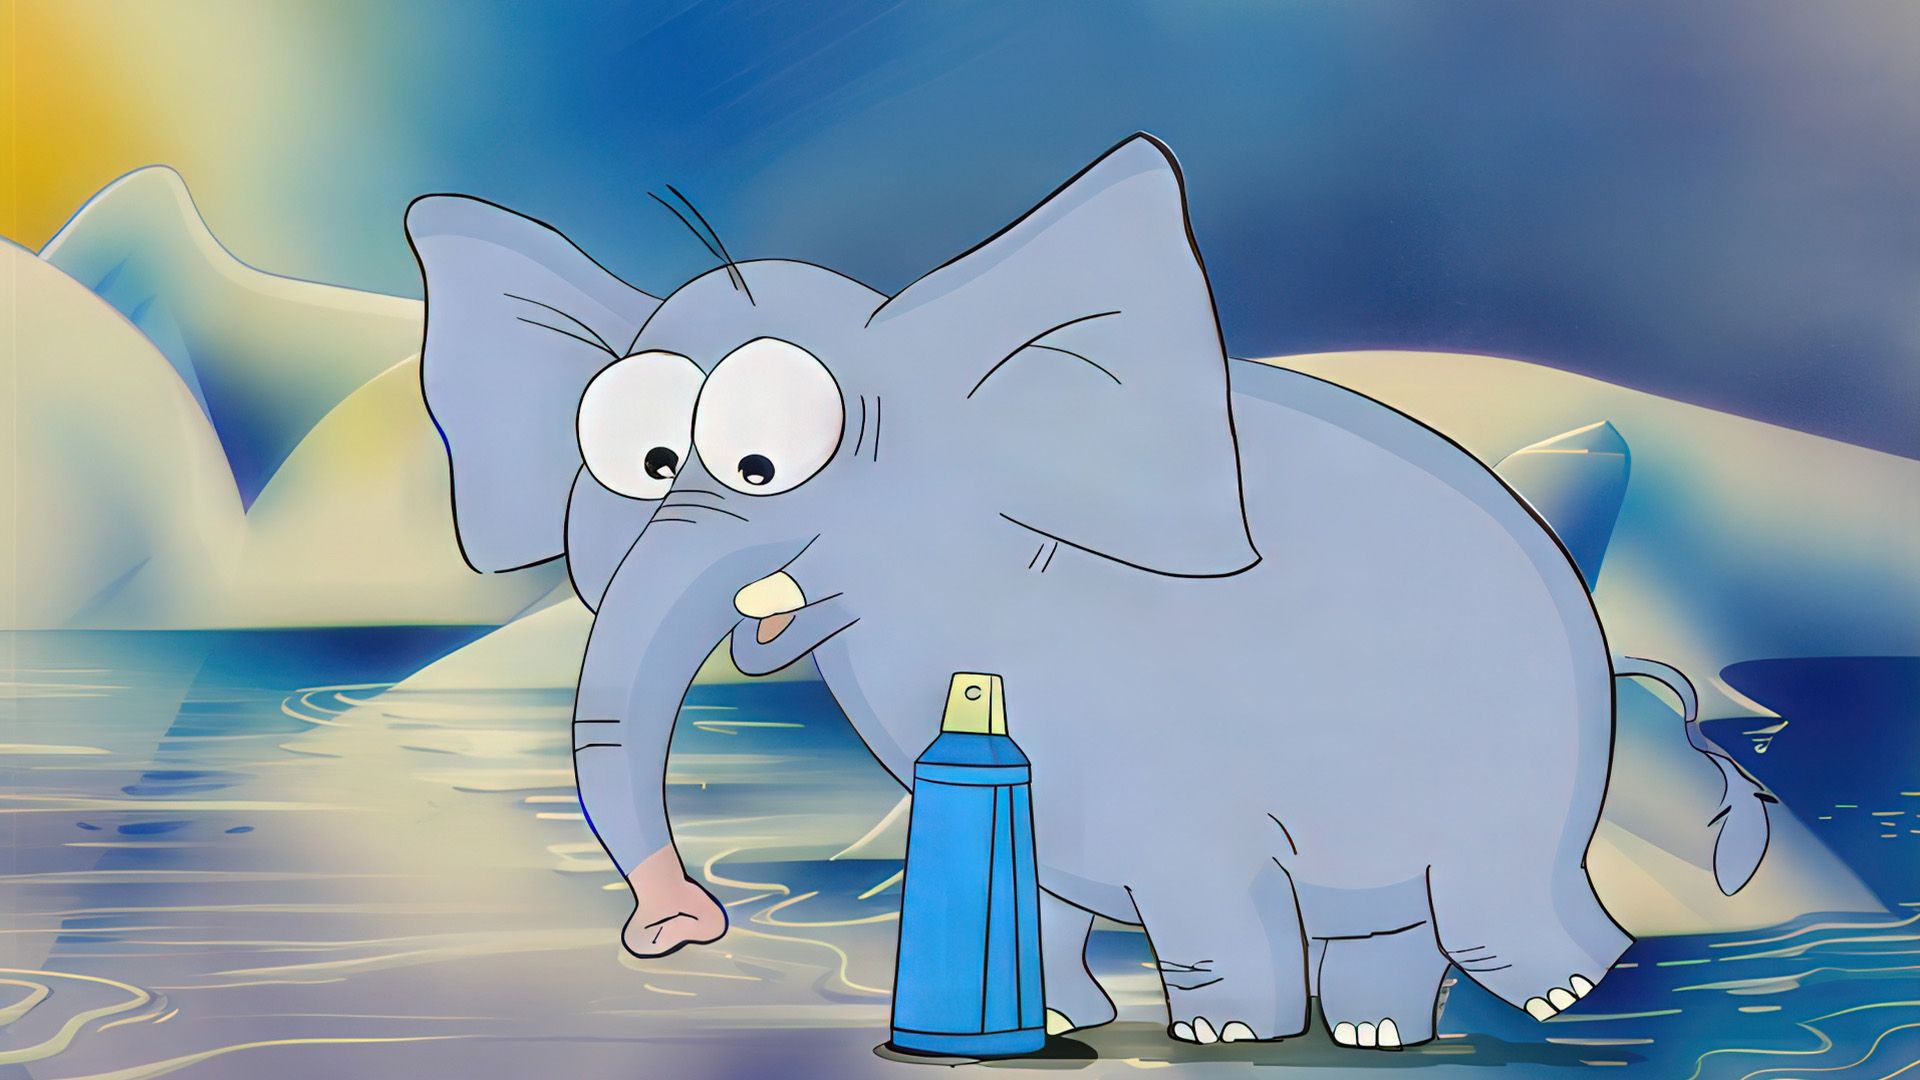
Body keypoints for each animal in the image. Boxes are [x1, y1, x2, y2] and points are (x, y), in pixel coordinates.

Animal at [406, 134, 1770, 1049]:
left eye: (763, 461)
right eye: (638, 462)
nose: (676, 924)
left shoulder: (1173, 740)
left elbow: (1196, 864)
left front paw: (1224, 1035)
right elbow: (1055, 887)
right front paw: (1059, 1019)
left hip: (1521, 756)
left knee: (1496, 891)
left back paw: (1563, 992)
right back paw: (1384, 1031)